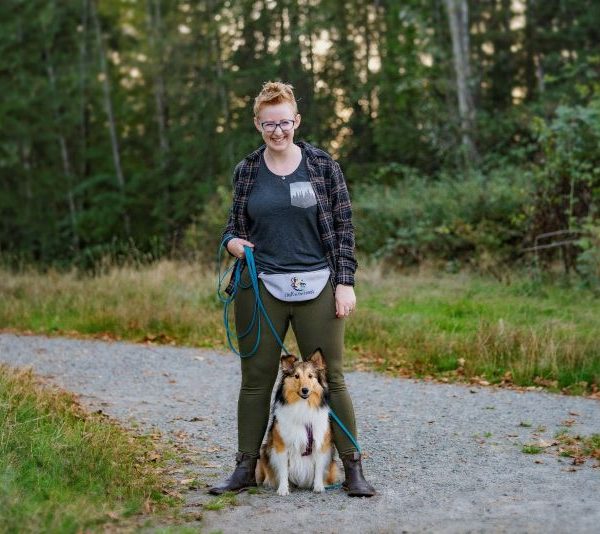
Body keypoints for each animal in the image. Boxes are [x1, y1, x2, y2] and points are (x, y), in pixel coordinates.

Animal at [254, 350, 338, 496]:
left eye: (310, 376)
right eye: (296, 376)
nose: (305, 390)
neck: (302, 405)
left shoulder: (321, 444)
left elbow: (319, 468)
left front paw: (318, 487)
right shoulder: (281, 445)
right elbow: (283, 470)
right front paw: (283, 489)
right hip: (264, 451)